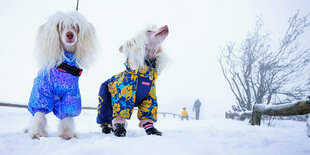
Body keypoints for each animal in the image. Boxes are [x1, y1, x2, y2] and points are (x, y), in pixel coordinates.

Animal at [26, 10, 99, 139]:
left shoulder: (71, 95)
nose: (70, 35)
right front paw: (36, 133)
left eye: (75, 26)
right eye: (61, 26)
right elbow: (39, 114)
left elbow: (67, 117)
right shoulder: (41, 92)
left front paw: (67, 135)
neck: (64, 66)